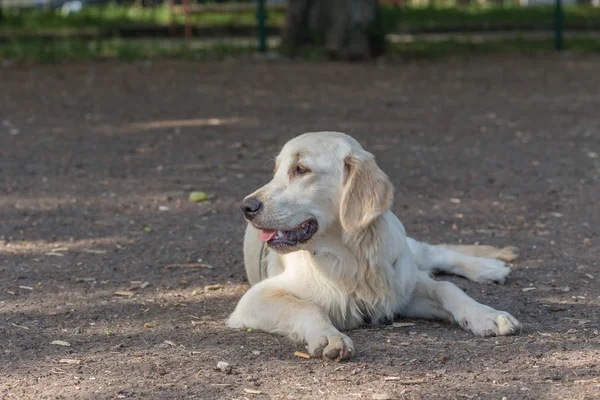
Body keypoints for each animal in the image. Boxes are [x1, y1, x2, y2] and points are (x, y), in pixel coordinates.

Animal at [227, 133, 524, 360]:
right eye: (275, 171)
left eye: (301, 170)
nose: (246, 207)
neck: (350, 257)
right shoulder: (255, 298)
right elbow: (308, 307)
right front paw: (329, 336)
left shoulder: (402, 289)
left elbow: (447, 288)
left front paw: (487, 315)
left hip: (406, 249)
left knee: (437, 251)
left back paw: (491, 267)